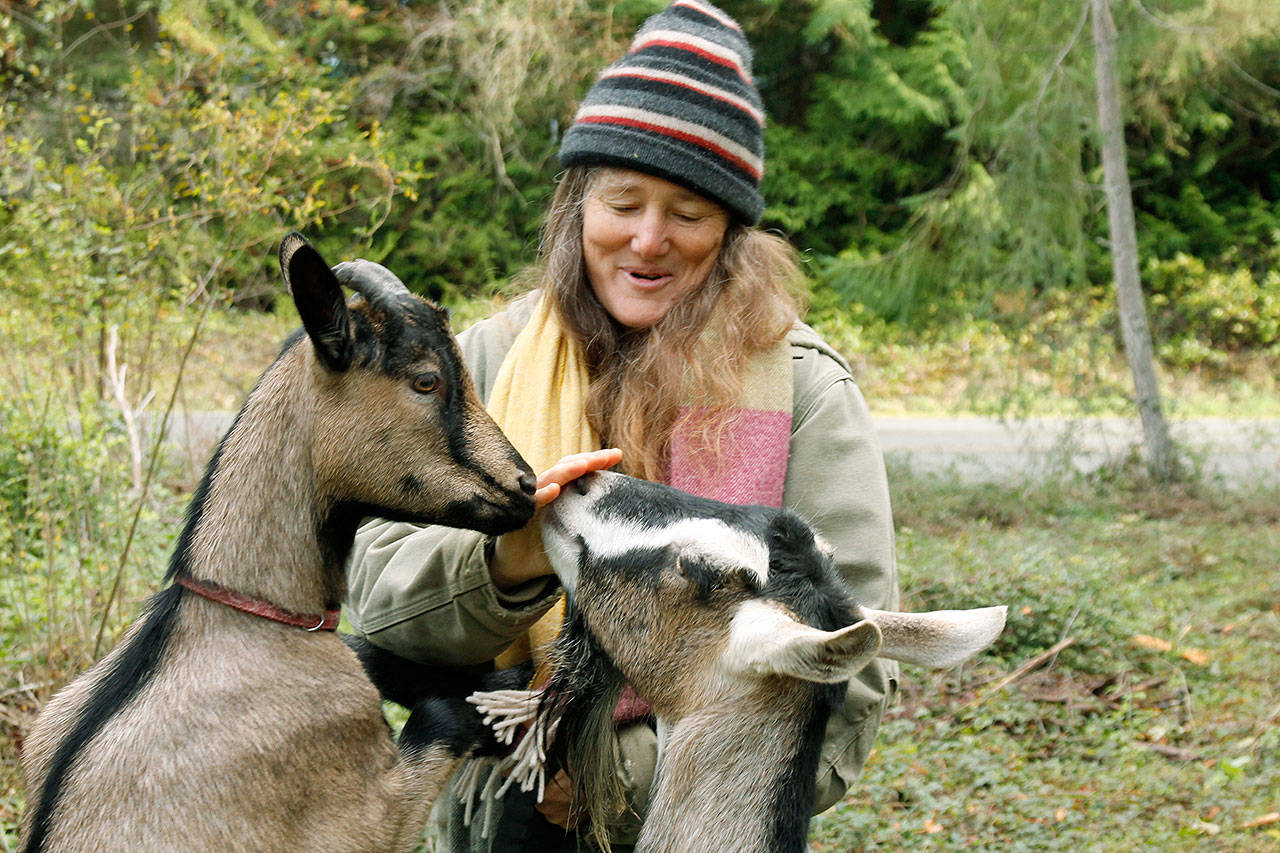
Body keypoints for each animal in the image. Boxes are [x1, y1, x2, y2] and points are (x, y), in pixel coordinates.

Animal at [21, 234, 540, 850]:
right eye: (426, 379)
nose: (526, 486)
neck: (248, 615)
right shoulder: (363, 820)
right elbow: (441, 715)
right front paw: (507, 697)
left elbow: (372, 651)